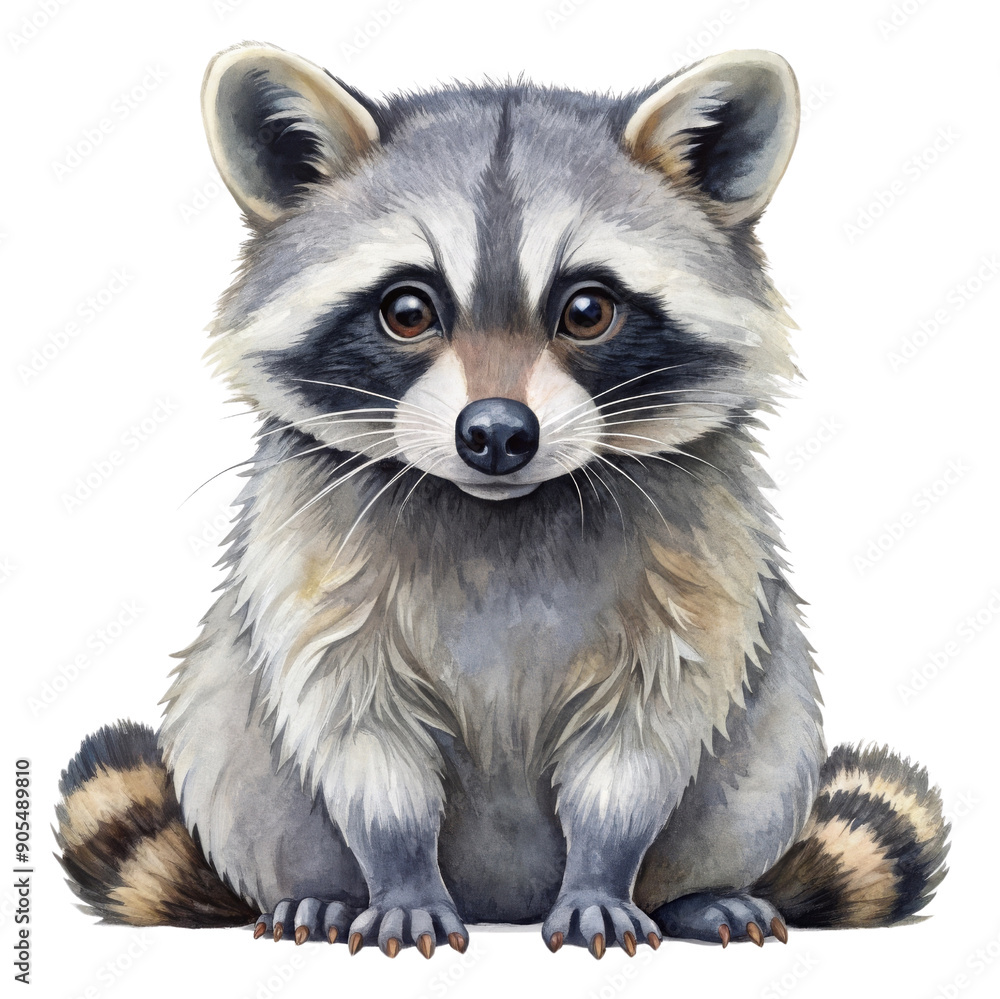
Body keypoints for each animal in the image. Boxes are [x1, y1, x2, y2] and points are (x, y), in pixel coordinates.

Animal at [55, 42, 949, 958]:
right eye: (407, 309)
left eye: (587, 309)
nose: (494, 432)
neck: (501, 506)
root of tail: (502, 902)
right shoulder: (311, 550)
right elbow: (358, 734)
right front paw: (402, 876)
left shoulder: (701, 556)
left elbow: (644, 741)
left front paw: (601, 873)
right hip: (230, 754)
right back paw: (324, 894)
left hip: (770, 743)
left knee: (765, 750)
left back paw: (698, 893)